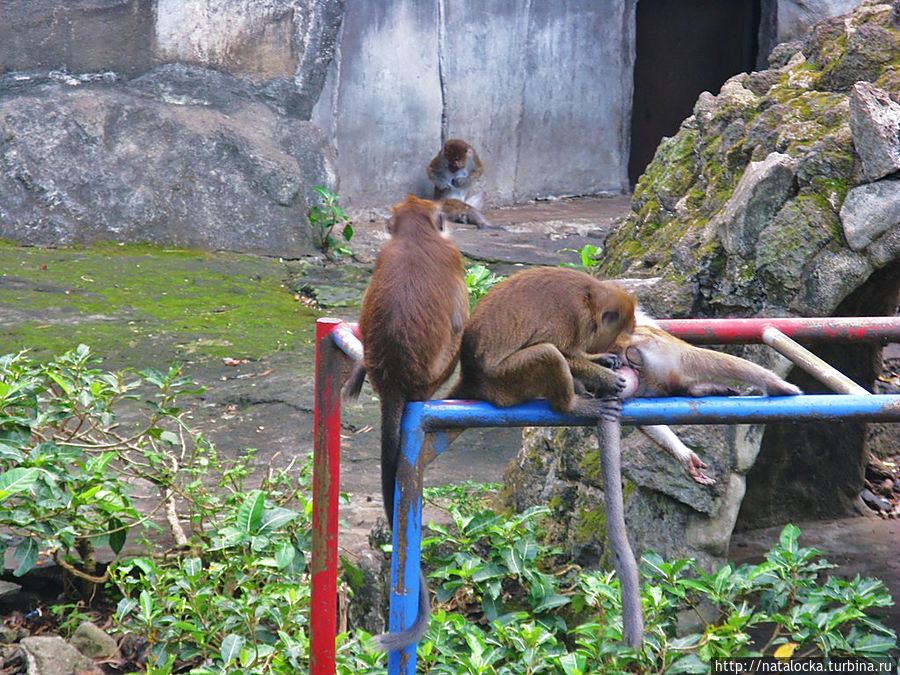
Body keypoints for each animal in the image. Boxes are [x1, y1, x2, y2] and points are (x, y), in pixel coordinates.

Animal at [342, 195, 472, 656]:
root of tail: (396, 384)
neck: (417, 236)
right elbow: (460, 319)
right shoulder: (453, 257)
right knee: (461, 334)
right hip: (436, 372)